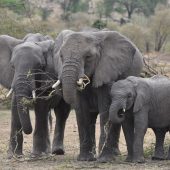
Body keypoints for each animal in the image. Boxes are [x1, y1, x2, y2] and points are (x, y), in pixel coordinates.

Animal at [53, 29, 143, 161]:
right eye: (61, 56)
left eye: (88, 57)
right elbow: (82, 111)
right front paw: (85, 159)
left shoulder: (107, 72)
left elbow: (106, 110)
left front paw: (104, 159)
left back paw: (113, 154)